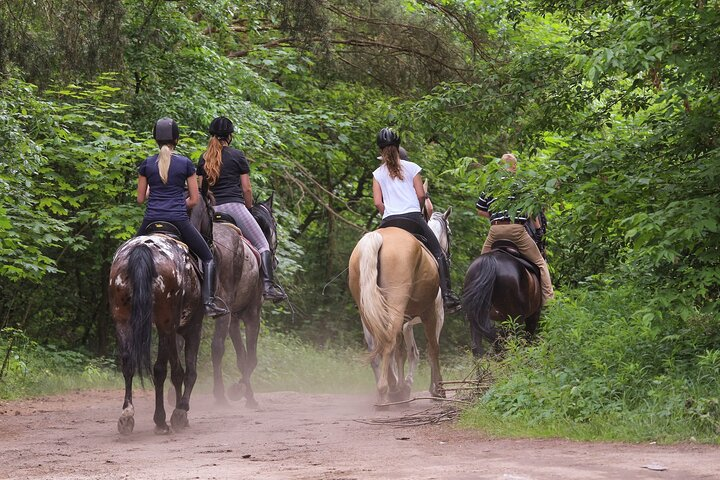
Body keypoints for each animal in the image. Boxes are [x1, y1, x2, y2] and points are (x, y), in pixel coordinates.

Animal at [107, 229, 202, 436]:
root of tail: (143, 248)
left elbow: (177, 370)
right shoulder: (191, 326)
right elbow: (185, 371)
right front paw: (180, 412)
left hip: (123, 320)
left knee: (128, 363)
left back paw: (127, 416)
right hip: (165, 322)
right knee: (160, 370)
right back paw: (161, 420)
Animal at [348, 208, 452, 404]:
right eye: (449, 232)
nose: (448, 257)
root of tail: (377, 238)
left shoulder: (406, 323)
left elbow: (404, 352)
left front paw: (403, 385)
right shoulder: (435, 314)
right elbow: (431, 349)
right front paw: (437, 390)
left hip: (369, 312)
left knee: (377, 346)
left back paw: (390, 387)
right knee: (389, 342)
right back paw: (386, 391)